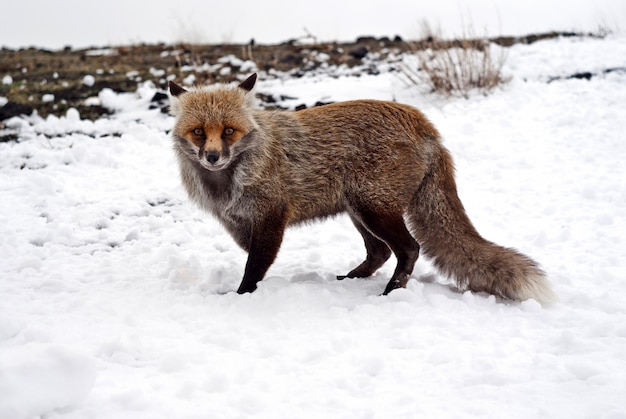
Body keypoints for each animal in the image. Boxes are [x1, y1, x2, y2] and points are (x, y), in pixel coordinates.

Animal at [166, 73, 552, 306]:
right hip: (358, 210)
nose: (213, 157)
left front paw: (240, 297)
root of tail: (424, 123)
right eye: (198, 132)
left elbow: (253, 269)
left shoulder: (271, 219)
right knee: (380, 252)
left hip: (373, 208)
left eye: (228, 131)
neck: (232, 178)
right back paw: (350, 280)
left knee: (409, 249)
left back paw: (390, 292)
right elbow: (253, 261)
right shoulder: (242, 223)